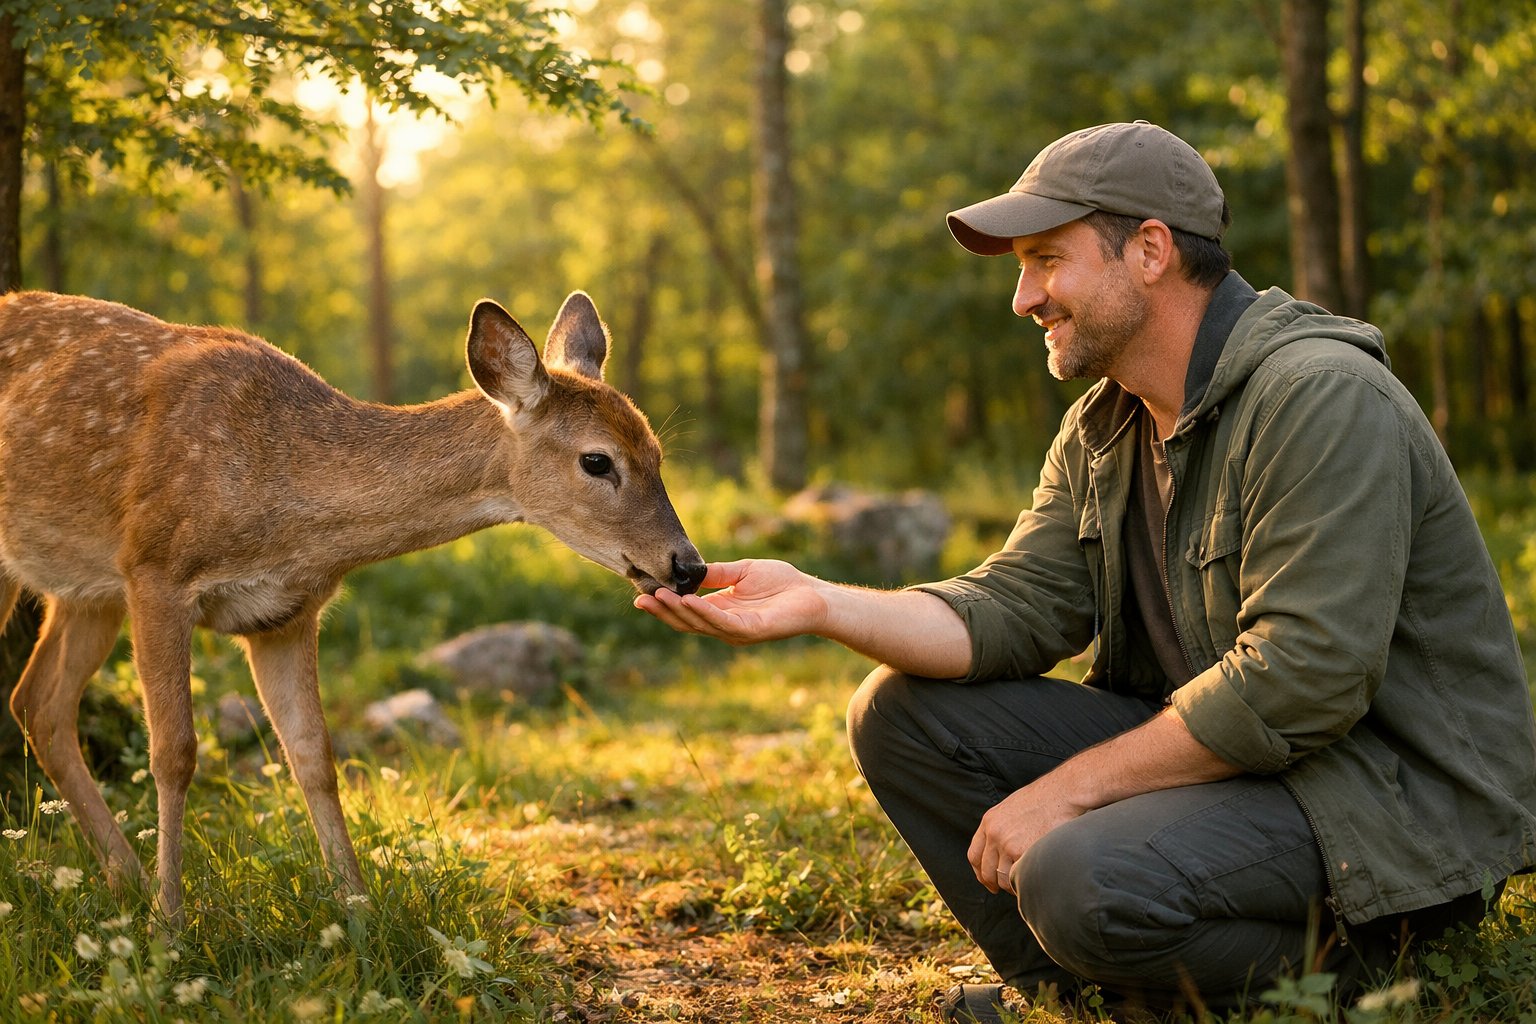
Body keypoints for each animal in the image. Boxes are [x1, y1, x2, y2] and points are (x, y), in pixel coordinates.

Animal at [0, 289, 706, 928]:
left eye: (658, 453)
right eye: (597, 460)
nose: (689, 566)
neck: (283, 493)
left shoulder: (284, 613)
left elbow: (314, 755)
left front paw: (359, 914)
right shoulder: (154, 569)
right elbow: (174, 753)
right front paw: (169, 926)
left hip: (85, 589)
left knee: (37, 702)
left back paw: (125, 880)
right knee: (44, 702)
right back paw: (139, 891)